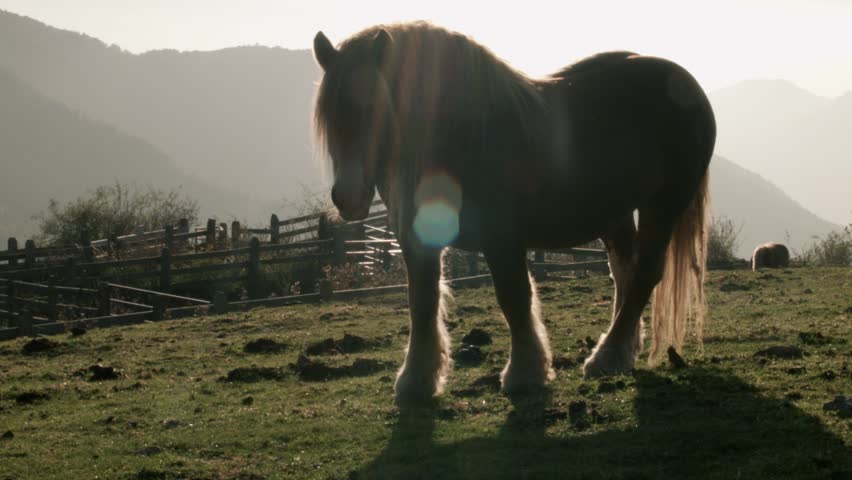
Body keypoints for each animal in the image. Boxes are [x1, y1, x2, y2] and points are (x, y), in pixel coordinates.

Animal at [312, 22, 712, 404]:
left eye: (374, 109)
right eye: (329, 117)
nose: (347, 198)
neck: (462, 137)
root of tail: (688, 86)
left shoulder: (503, 239)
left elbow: (514, 297)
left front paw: (525, 373)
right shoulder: (417, 243)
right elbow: (422, 302)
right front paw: (416, 381)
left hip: (664, 204)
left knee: (645, 273)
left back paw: (606, 356)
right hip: (616, 212)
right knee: (624, 274)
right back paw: (623, 350)